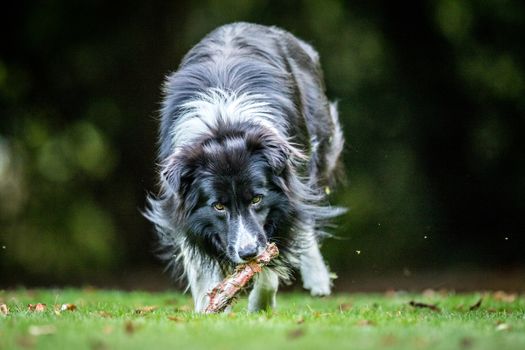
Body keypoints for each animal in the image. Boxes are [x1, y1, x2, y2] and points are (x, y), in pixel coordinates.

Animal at [145, 21, 346, 312]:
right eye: (218, 206)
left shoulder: (284, 194)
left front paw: (259, 305)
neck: (224, 125)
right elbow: (200, 265)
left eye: (257, 199)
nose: (247, 252)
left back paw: (317, 279)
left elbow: (273, 257)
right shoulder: (180, 204)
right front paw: (209, 307)